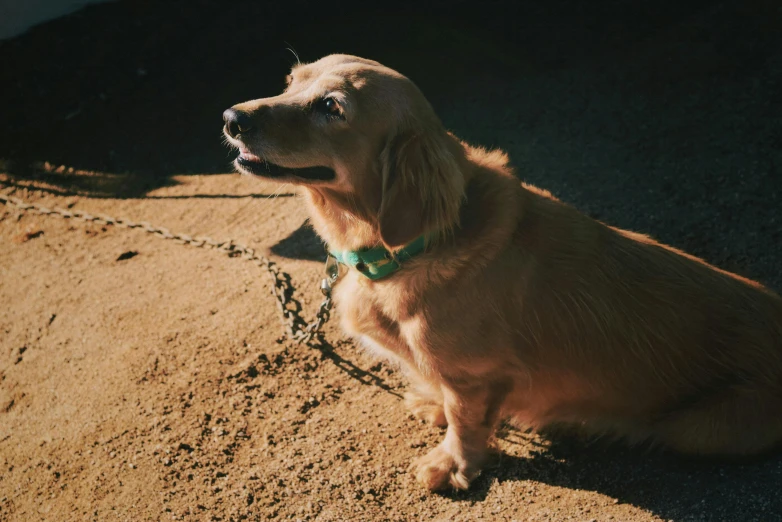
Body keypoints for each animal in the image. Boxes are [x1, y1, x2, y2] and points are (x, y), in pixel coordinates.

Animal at [222, 54, 782, 490]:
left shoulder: (477, 377)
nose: (230, 117)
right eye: (290, 81)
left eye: (331, 108)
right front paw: (433, 404)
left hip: (697, 429)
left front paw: (452, 465)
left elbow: (466, 424)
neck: (412, 247)